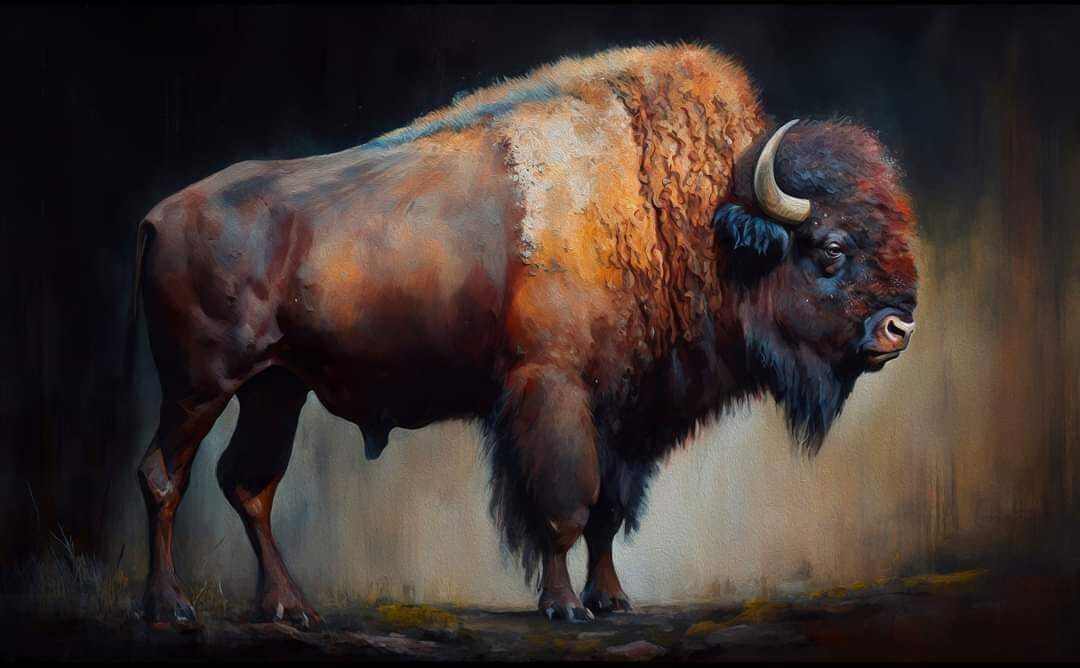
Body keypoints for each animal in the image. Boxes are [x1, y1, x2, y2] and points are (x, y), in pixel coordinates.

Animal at [127, 45, 918, 626]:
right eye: (830, 249)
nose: (898, 327)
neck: (688, 214)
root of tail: (159, 215)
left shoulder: (625, 413)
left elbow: (607, 513)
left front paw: (612, 599)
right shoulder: (552, 391)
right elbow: (563, 507)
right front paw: (564, 607)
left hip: (275, 389)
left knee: (249, 482)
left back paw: (288, 608)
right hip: (199, 387)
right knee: (166, 475)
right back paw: (172, 609)